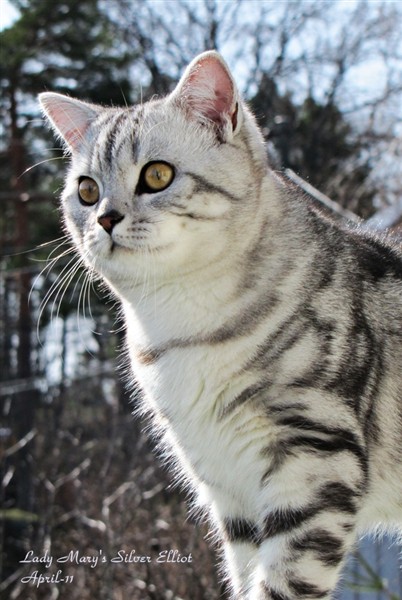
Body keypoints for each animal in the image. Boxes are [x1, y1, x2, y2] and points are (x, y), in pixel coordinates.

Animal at [38, 51, 402, 600]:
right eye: (86, 190)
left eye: (157, 175)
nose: (104, 218)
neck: (180, 325)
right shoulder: (227, 487)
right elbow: (246, 576)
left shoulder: (315, 462)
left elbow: (282, 584)